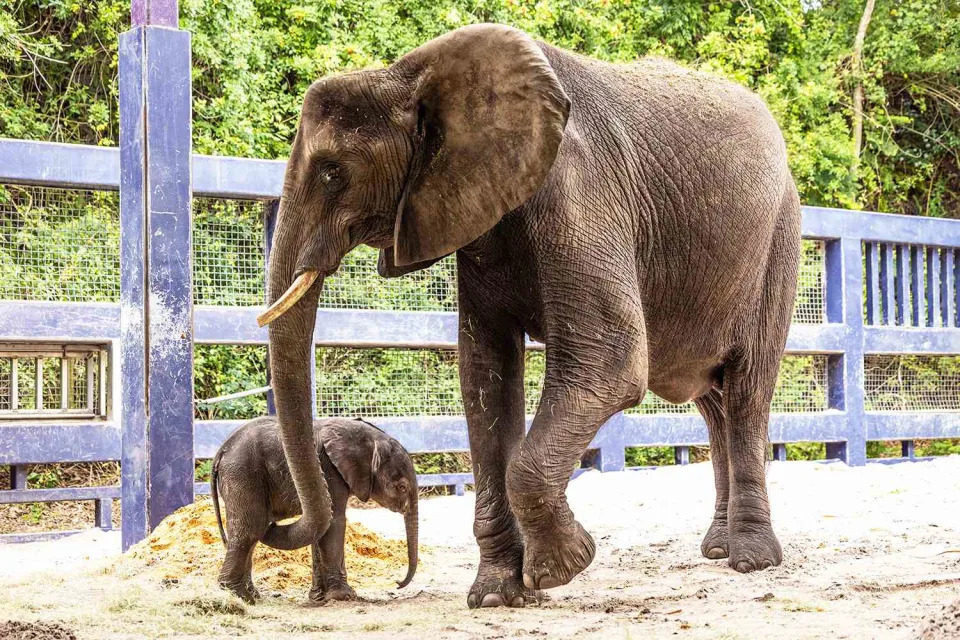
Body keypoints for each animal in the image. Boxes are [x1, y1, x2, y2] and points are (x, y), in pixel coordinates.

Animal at [212, 418, 418, 604]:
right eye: (401, 487)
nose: (397, 583)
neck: (368, 438)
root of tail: (221, 452)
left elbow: (321, 529)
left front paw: (319, 597)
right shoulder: (330, 471)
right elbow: (334, 522)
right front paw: (344, 596)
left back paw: (252, 595)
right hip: (242, 474)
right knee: (249, 530)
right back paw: (239, 596)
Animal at [258, 21, 800, 608]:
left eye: (332, 173)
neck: (409, 75)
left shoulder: (581, 193)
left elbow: (609, 362)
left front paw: (563, 567)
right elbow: (484, 377)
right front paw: (499, 595)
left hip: (778, 242)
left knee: (746, 389)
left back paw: (750, 561)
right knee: (713, 399)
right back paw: (717, 549)